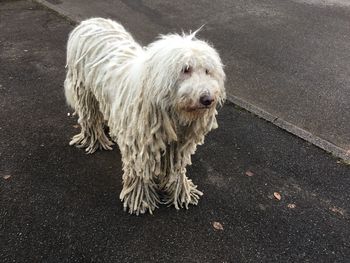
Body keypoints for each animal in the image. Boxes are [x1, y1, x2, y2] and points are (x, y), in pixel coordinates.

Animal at [64, 18, 226, 217]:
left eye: (208, 71)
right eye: (186, 69)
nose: (207, 99)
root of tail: (91, 21)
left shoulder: (177, 145)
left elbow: (176, 168)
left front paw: (180, 193)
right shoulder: (140, 143)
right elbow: (140, 171)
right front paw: (140, 200)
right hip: (85, 92)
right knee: (90, 118)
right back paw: (94, 140)